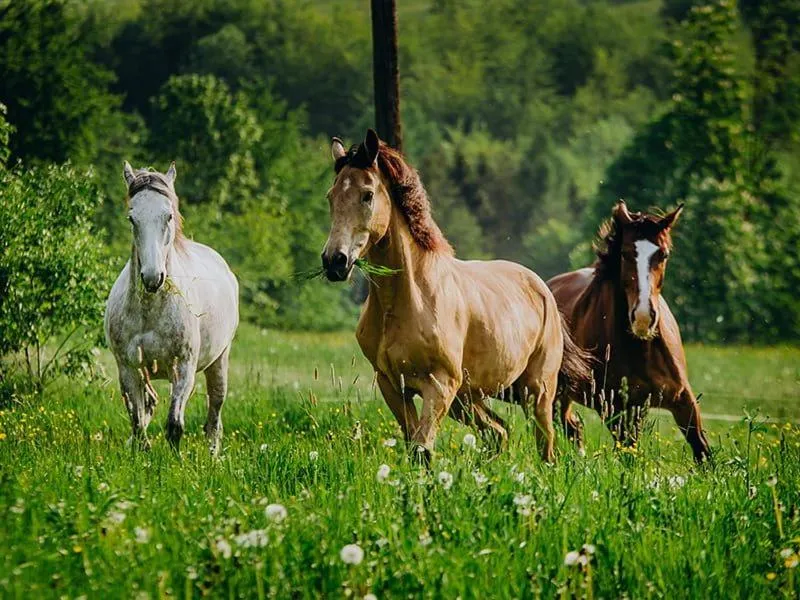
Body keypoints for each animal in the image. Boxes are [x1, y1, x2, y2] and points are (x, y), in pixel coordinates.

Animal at [104, 162, 239, 454]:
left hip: (219, 361)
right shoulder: (128, 369)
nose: (152, 278)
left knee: (215, 415)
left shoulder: (183, 369)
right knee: (148, 406)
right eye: (132, 219)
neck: (150, 312)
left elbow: (174, 426)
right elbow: (138, 424)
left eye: (168, 216)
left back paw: (213, 455)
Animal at [321, 129, 591, 463]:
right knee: (500, 431)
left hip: (535, 390)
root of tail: (544, 291)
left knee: (547, 442)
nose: (335, 261)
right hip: (474, 397)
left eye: (367, 194)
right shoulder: (392, 386)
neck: (409, 299)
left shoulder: (440, 385)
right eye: (331, 196)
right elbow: (414, 446)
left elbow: (422, 448)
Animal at [548, 200, 711, 462]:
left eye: (663, 254)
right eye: (625, 253)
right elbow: (628, 453)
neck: (641, 348)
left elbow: (702, 450)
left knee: (573, 427)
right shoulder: (615, 407)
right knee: (569, 426)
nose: (643, 317)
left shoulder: (682, 400)